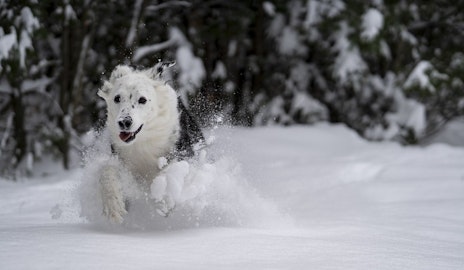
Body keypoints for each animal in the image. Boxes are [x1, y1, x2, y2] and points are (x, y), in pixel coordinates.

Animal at [96, 63, 203, 224]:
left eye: (142, 100)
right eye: (117, 98)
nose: (124, 122)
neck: (144, 140)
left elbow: (170, 170)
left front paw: (164, 199)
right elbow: (107, 170)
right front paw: (113, 206)